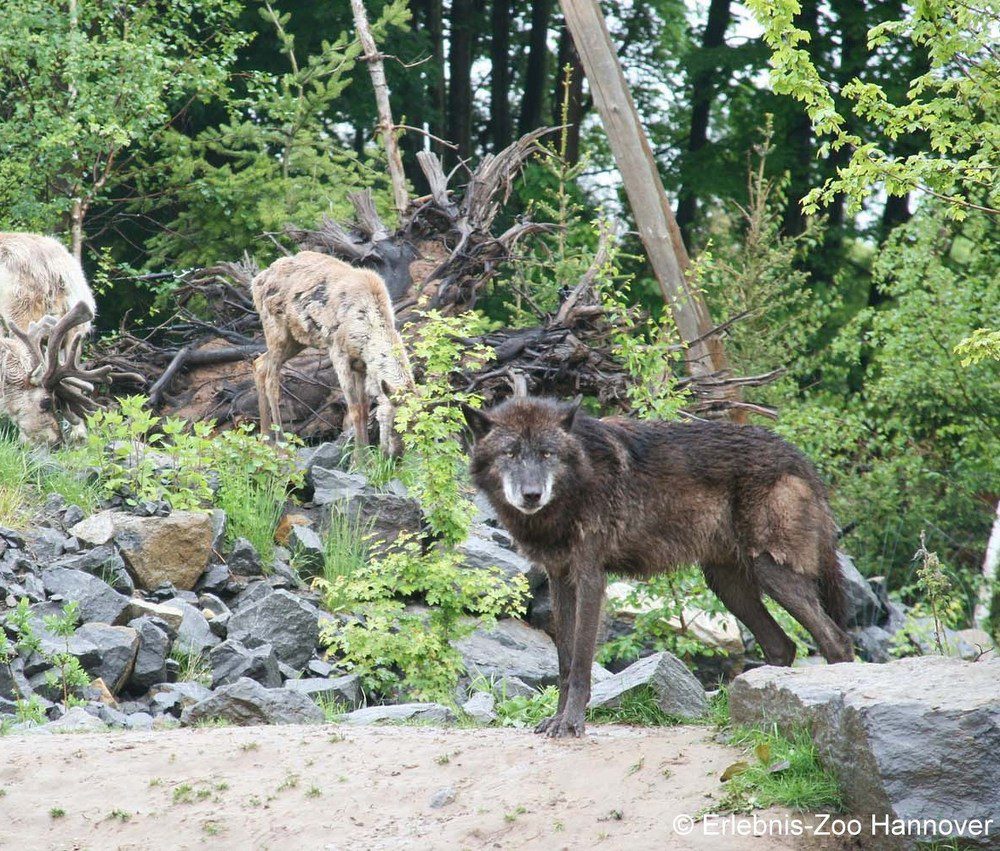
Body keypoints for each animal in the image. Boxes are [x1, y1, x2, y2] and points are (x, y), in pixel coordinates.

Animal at [464, 400, 856, 740]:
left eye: (547, 453)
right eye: (510, 453)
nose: (531, 495)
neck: (577, 481)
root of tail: (800, 457)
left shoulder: (590, 578)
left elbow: (580, 665)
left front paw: (572, 724)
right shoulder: (560, 578)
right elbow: (564, 662)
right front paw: (557, 719)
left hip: (771, 573)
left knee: (836, 640)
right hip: (727, 586)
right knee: (782, 645)